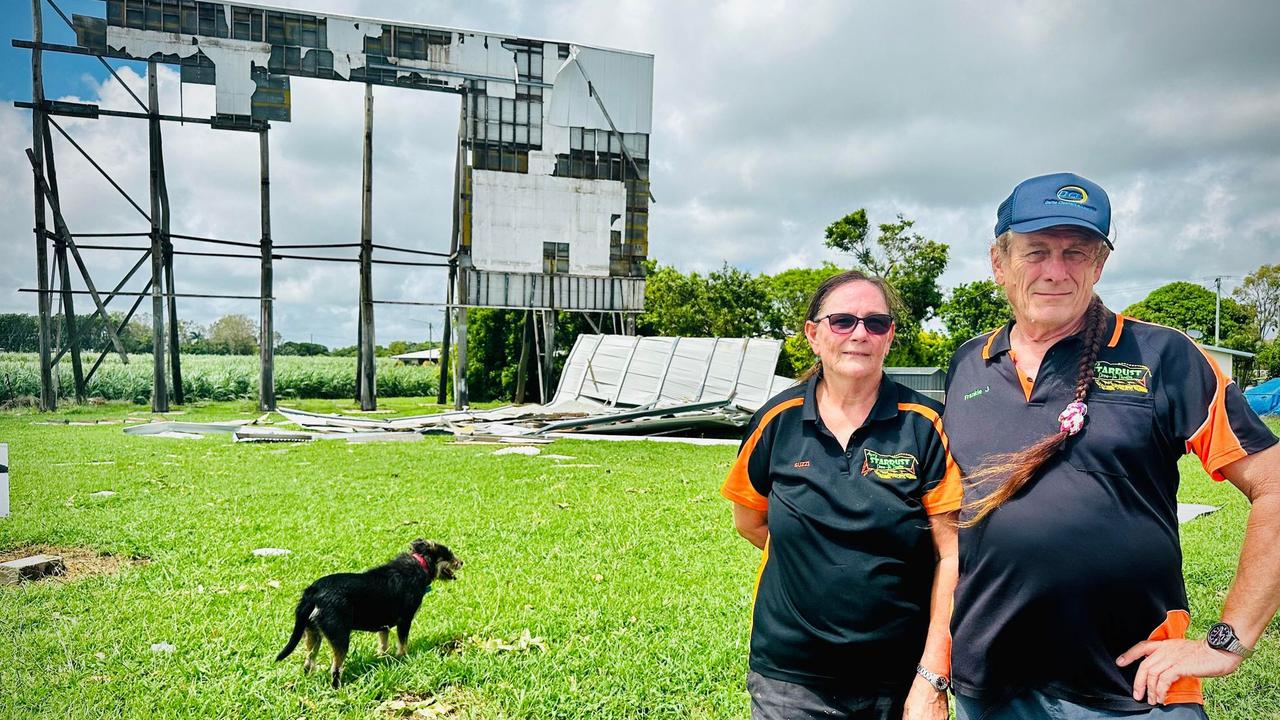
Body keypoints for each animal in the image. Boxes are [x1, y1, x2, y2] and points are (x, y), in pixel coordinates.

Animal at [275, 538, 465, 681]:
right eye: (449, 555)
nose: (462, 562)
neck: (421, 564)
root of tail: (312, 592)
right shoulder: (405, 620)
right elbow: (402, 644)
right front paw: (403, 659)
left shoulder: (384, 626)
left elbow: (383, 645)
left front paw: (384, 660)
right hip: (340, 636)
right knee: (335, 669)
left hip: (313, 634)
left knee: (308, 663)